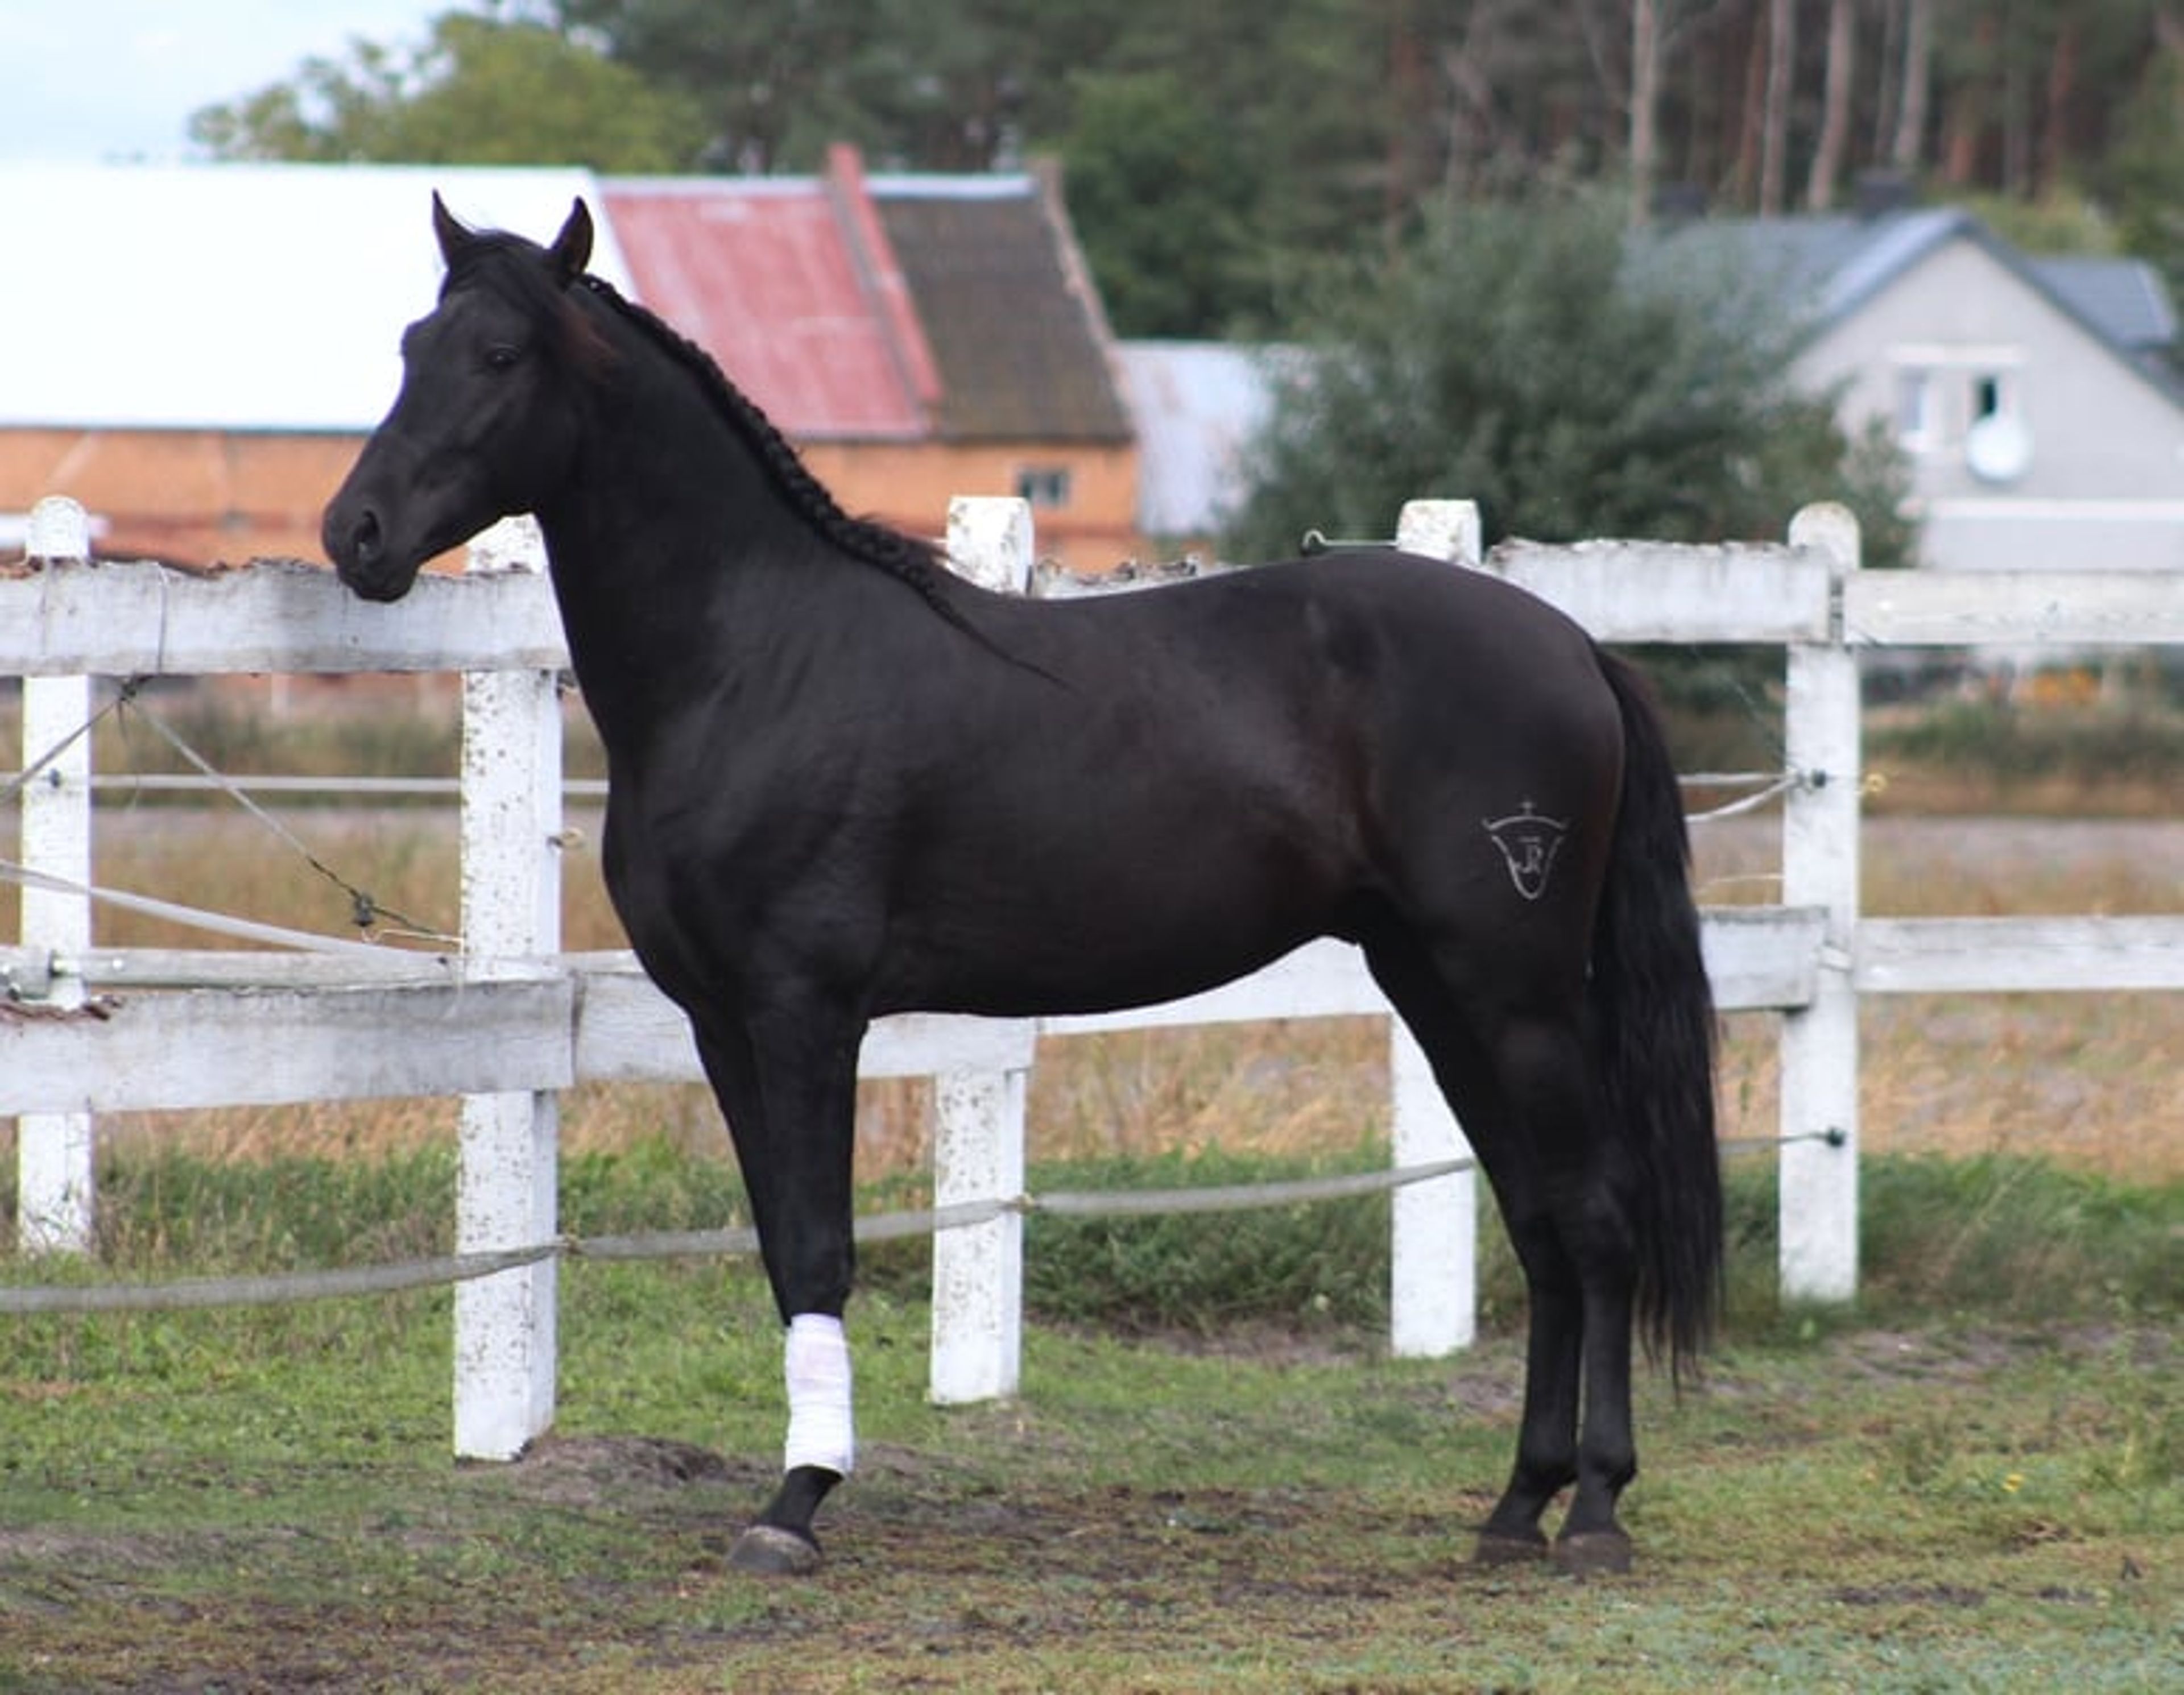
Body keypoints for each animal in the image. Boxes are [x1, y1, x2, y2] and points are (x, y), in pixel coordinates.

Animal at [323, 196, 1722, 1579]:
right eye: (407, 347)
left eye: (499, 355)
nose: (357, 534)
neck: (756, 658)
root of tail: (1573, 644)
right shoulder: (722, 1022)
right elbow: (781, 1251)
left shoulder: (806, 1011)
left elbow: (821, 1248)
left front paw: (796, 1504)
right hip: (1437, 988)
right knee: (1538, 1222)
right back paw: (1518, 1503)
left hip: (1518, 994)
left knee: (1595, 1218)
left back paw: (1595, 1513)